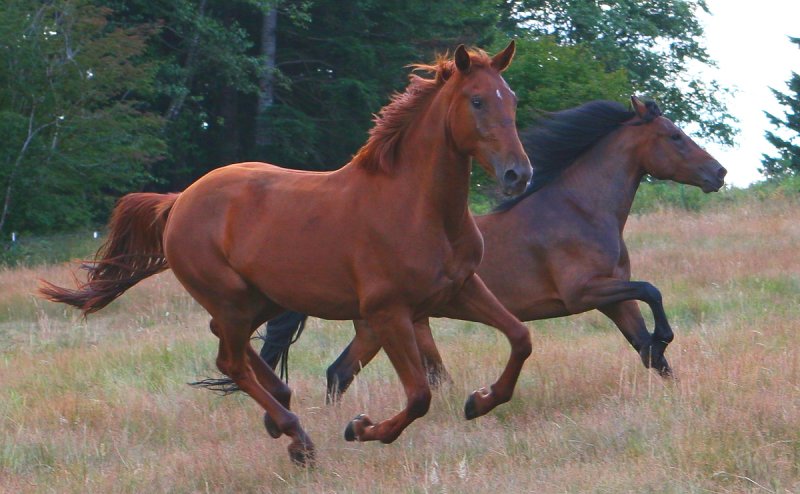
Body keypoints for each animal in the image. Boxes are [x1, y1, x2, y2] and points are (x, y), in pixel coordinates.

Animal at [40, 42, 536, 464]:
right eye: (477, 101)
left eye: (510, 99)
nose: (518, 174)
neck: (415, 206)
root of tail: (179, 201)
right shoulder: (389, 311)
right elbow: (419, 396)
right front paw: (360, 428)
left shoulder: (459, 289)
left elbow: (520, 338)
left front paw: (480, 400)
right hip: (234, 298)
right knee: (229, 359)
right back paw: (297, 437)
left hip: (264, 298)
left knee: (227, 340)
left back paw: (279, 408)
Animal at [260, 96, 724, 402]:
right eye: (674, 136)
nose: (718, 173)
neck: (581, 210)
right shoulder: (584, 292)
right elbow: (652, 292)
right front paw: (665, 338)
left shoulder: (613, 298)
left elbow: (648, 352)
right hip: (382, 324)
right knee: (347, 374)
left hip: (398, 326)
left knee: (348, 374)